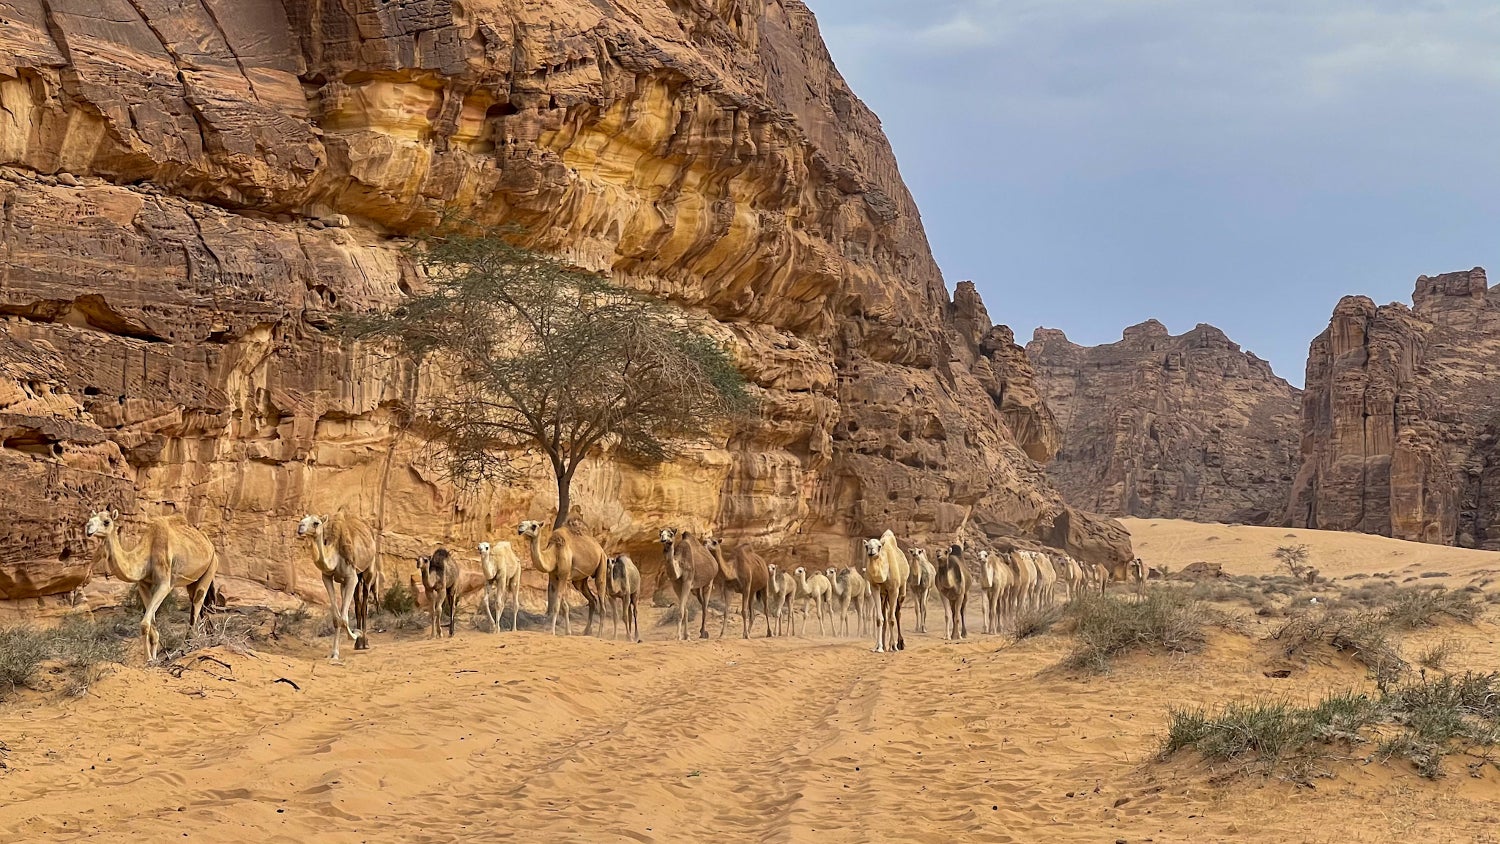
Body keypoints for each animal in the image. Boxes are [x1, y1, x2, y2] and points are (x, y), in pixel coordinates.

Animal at [85, 509, 219, 668]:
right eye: (90, 518)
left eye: (106, 521)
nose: (88, 528)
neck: (146, 554)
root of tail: (209, 544)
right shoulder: (143, 584)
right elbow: (152, 626)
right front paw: (153, 659)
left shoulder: (164, 584)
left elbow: (144, 624)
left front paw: (148, 659)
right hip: (193, 580)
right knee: (199, 605)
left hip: (211, 566)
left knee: (198, 601)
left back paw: (188, 646)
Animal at [292, 512, 375, 662]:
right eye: (303, 519)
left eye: (316, 523)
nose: (300, 527)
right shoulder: (327, 577)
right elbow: (337, 618)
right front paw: (334, 653)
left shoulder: (351, 577)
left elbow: (343, 618)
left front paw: (356, 634)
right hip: (347, 581)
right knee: (357, 604)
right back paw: (358, 644)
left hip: (369, 569)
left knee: (365, 604)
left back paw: (364, 642)